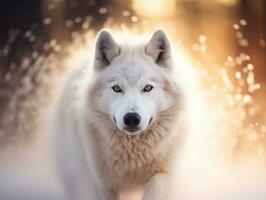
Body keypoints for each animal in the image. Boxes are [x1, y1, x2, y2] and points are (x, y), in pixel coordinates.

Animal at [52, 28, 189, 199]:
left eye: (147, 88)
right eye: (117, 88)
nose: (131, 119)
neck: (133, 156)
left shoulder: (163, 174)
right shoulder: (104, 185)